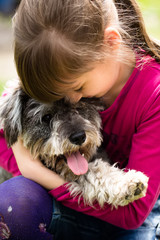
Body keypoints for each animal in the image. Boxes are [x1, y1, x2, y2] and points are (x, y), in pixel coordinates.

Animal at [0, 81, 149, 208]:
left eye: (78, 107)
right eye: (47, 117)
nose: (79, 137)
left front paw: (127, 182)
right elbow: (92, 172)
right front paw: (125, 183)